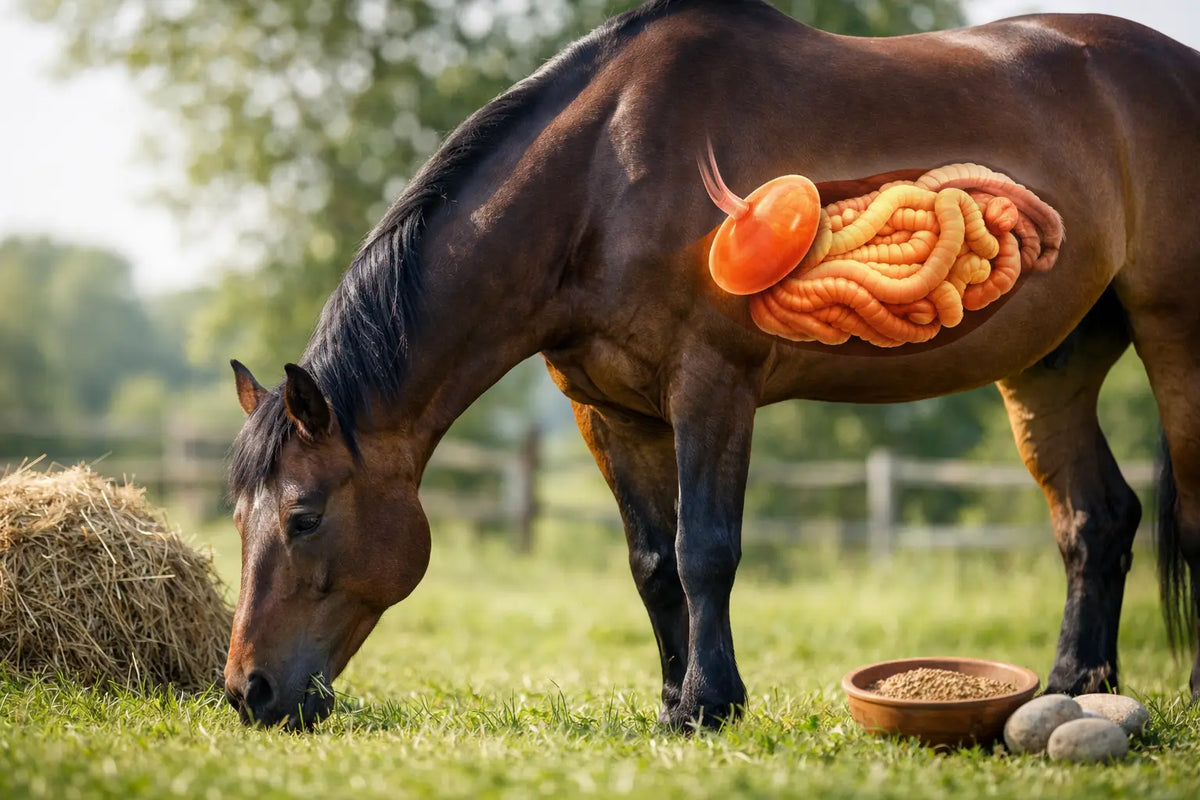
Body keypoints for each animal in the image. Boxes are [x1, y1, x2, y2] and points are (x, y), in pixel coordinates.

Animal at [223, 0, 1200, 730]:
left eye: (304, 517)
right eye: (239, 519)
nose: (246, 692)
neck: (603, 181)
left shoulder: (712, 386)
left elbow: (706, 549)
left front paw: (710, 701)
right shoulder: (606, 411)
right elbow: (653, 562)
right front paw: (672, 706)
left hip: (1176, 337)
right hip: (1049, 364)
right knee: (1095, 518)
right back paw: (1076, 688)